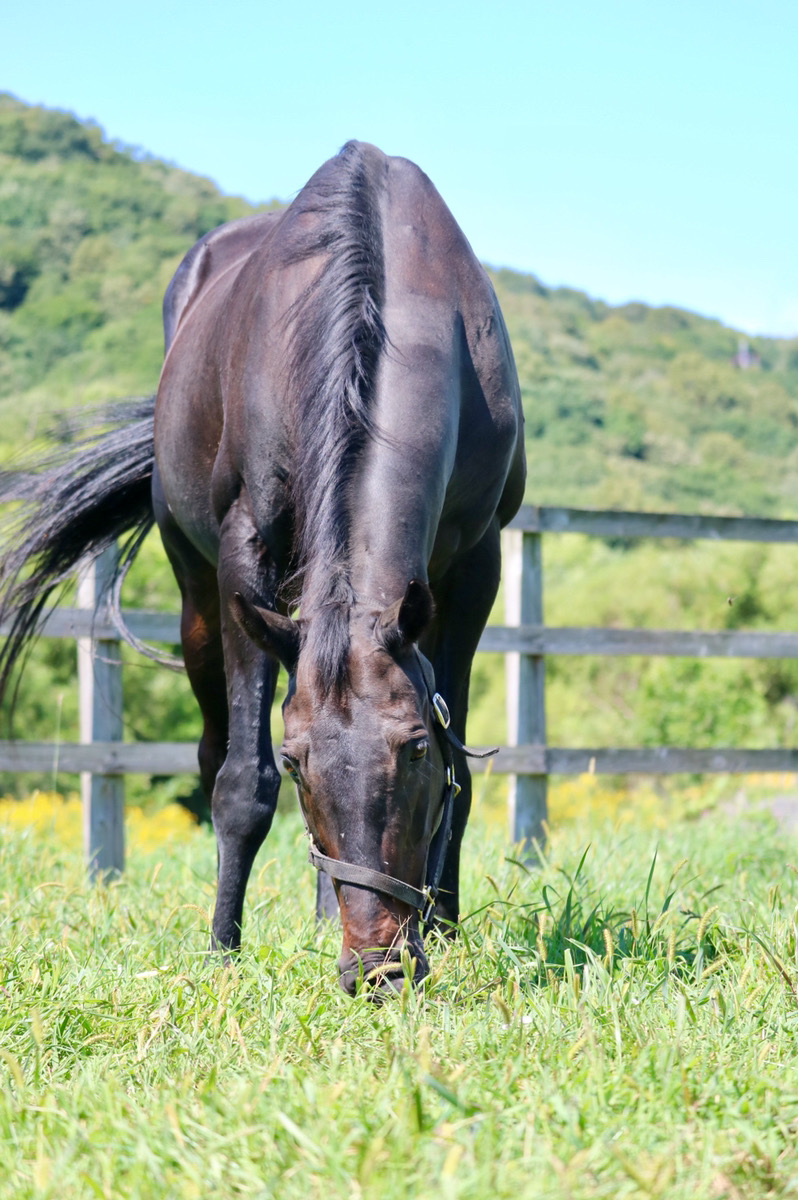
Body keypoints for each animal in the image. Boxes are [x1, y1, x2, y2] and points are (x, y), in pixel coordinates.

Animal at [0, 140, 525, 993]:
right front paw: (223, 950)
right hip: (197, 599)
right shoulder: (245, 558)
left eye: (414, 746)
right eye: (298, 761)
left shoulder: (477, 563)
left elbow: (465, 773)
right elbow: (244, 782)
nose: (376, 968)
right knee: (214, 752)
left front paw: (448, 934)